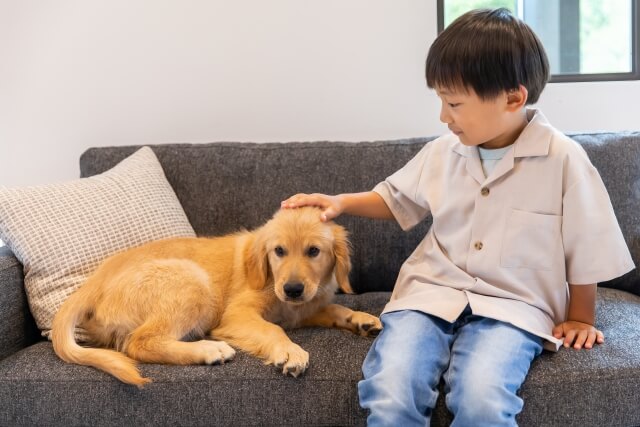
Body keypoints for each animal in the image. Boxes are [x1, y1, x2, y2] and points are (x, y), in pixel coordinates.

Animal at [51, 206, 380, 388]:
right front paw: (289, 352)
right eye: (279, 251)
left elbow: (334, 309)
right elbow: (272, 329)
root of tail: (94, 281)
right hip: (193, 282)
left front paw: (361, 319)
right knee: (139, 343)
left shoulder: (301, 310)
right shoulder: (238, 314)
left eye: (313, 251)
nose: (292, 289)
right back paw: (209, 350)